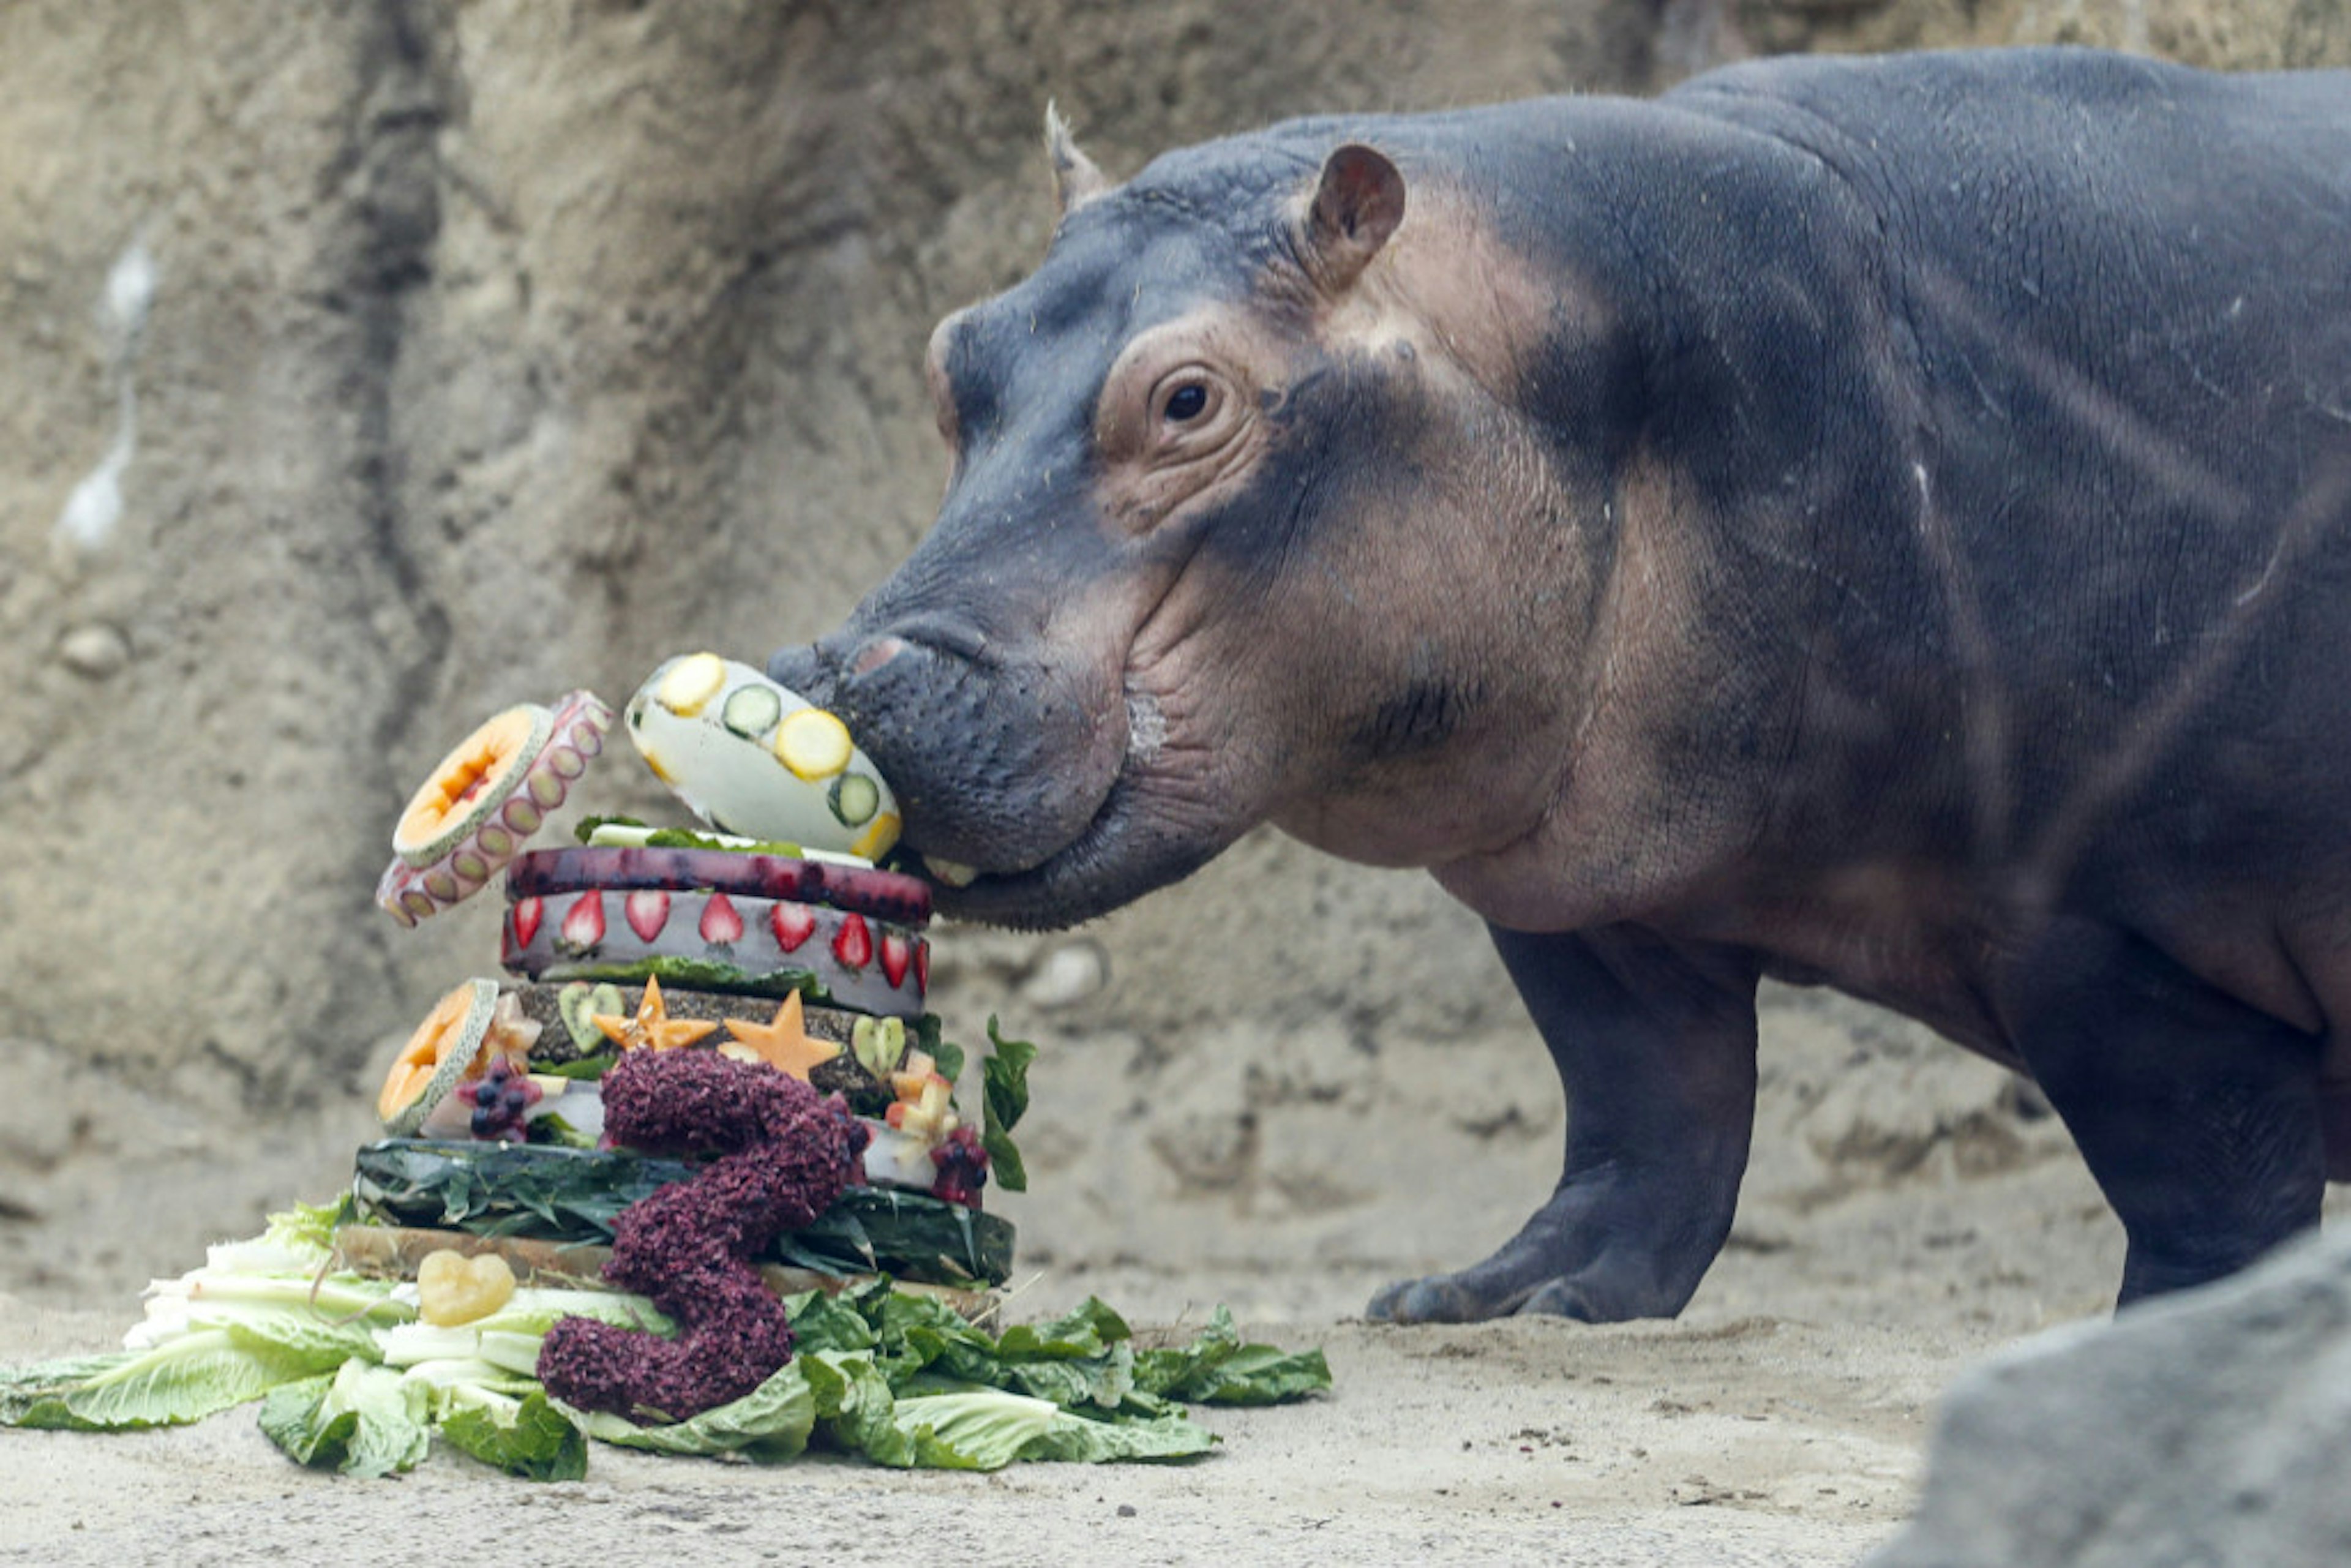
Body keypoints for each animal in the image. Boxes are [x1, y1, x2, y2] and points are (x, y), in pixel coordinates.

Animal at [771, 49, 2351, 1326]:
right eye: (953, 353)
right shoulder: (1584, 880)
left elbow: (2201, 1182)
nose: (838, 670)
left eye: (1187, 398)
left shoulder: (2101, 927)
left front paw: (2168, 1343)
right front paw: (1501, 1298)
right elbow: (1647, 1111)